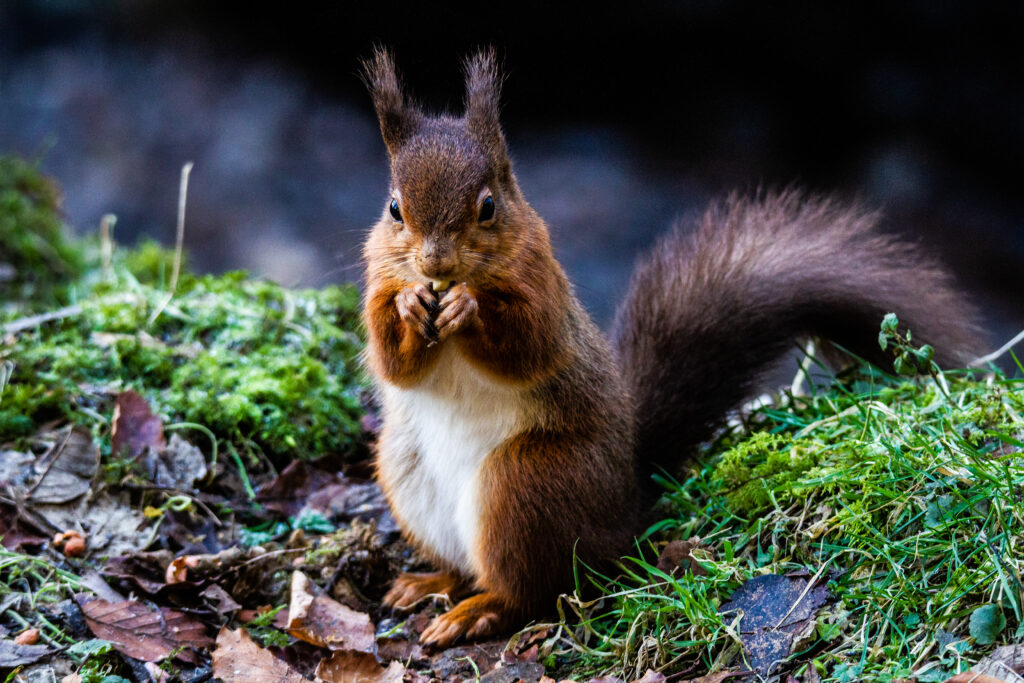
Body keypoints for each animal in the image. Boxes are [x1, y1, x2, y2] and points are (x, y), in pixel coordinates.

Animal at [359, 48, 982, 648]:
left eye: (488, 207)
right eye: (394, 209)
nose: (435, 263)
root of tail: (624, 509)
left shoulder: (544, 288)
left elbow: (528, 347)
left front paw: (467, 307)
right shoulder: (378, 279)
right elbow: (394, 361)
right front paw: (410, 304)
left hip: (526, 486)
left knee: (534, 589)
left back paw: (480, 610)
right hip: (406, 473)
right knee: (471, 568)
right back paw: (430, 582)